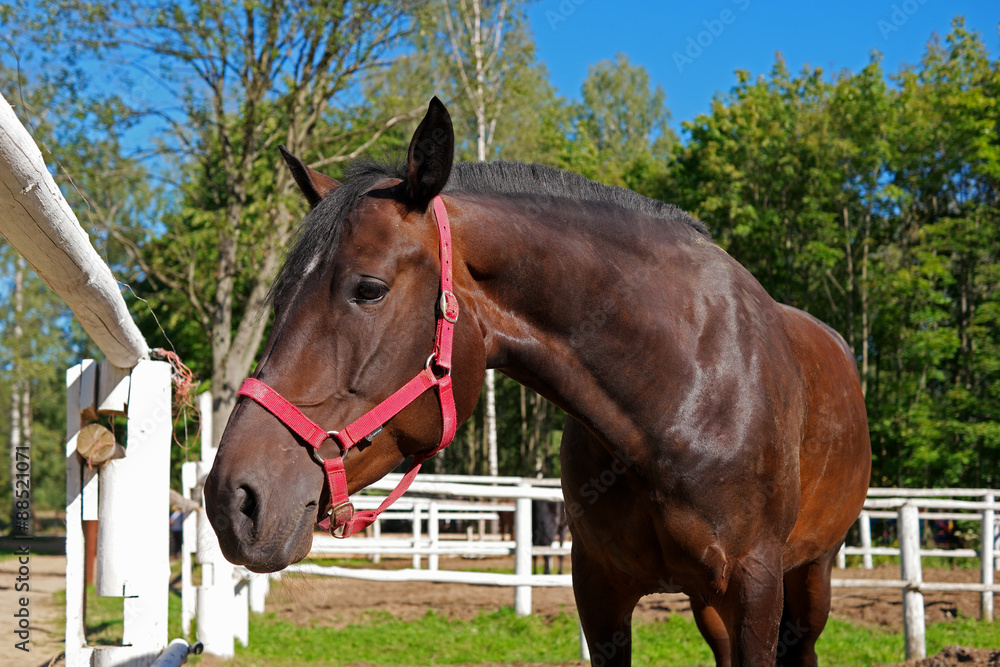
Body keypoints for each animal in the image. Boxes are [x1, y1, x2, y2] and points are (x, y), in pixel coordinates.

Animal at [204, 98, 871, 666]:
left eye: (368, 289)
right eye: (279, 299)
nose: (232, 499)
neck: (680, 393)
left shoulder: (755, 588)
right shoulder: (600, 591)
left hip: (809, 577)